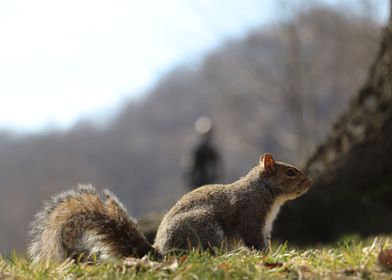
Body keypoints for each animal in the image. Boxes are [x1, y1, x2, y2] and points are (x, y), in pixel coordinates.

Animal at [27, 153, 310, 262]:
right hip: (206, 229)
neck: (264, 190)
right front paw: (268, 256)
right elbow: (254, 241)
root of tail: (160, 253)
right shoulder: (250, 216)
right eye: (290, 172)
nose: (309, 182)